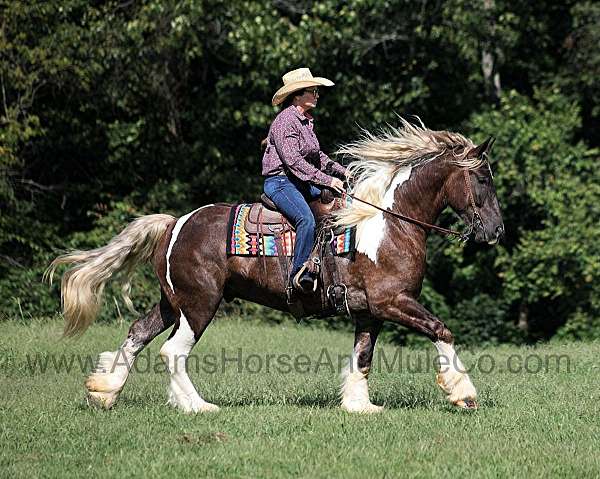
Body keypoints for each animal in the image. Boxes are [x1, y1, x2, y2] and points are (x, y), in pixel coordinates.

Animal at [47, 119, 504, 412]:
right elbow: (441, 330)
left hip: (171, 302)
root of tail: (175, 223)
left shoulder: (369, 311)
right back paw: (198, 407)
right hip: (199, 305)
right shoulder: (392, 301)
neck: (386, 223)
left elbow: (363, 357)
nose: (496, 230)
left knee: (138, 333)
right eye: (483, 179)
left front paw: (359, 406)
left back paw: (104, 391)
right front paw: (463, 393)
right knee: (172, 352)